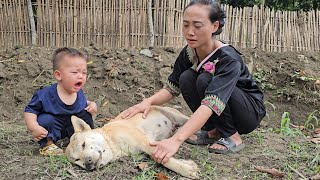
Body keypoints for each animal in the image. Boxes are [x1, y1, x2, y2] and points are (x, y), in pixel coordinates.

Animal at [65, 105, 198, 179]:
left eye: (83, 145)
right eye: (77, 160)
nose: (88, 164)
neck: (112, 143)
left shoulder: (146, 143)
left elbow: (167, 160)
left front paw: (185, 170)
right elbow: (162, 157)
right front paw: (188, 164)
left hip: (177, 115)